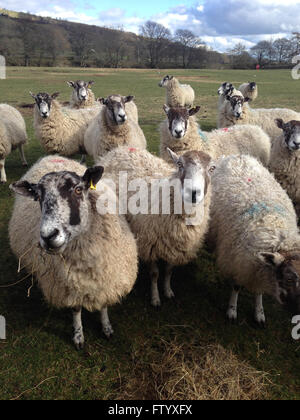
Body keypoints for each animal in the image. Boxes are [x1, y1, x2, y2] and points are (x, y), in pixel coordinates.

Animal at [9, 156, 138, 350]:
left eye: (78, 189)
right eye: (38, 197)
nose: (48, 236)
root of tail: (52, 156)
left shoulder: (107, 278)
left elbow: (104, 304)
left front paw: (107, 328)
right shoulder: (69, 286)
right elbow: (76, 309)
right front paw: (78, 336)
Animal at [99, 146, 214, 306]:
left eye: (212, 168)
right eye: (179, 164)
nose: (192, 193)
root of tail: (120, 148)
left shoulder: (175, 246)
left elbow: (169, 271)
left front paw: (168, 290)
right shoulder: (150, 243)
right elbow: (154, 274)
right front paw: (155, 298)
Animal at [209, 154, 300, 324]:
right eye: (289, 279)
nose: (298, 311)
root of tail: (240, 156)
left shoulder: (258, 269)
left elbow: (259, 292)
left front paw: (259, 312)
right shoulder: (239, 262)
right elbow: (236, 286)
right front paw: (232, 311)